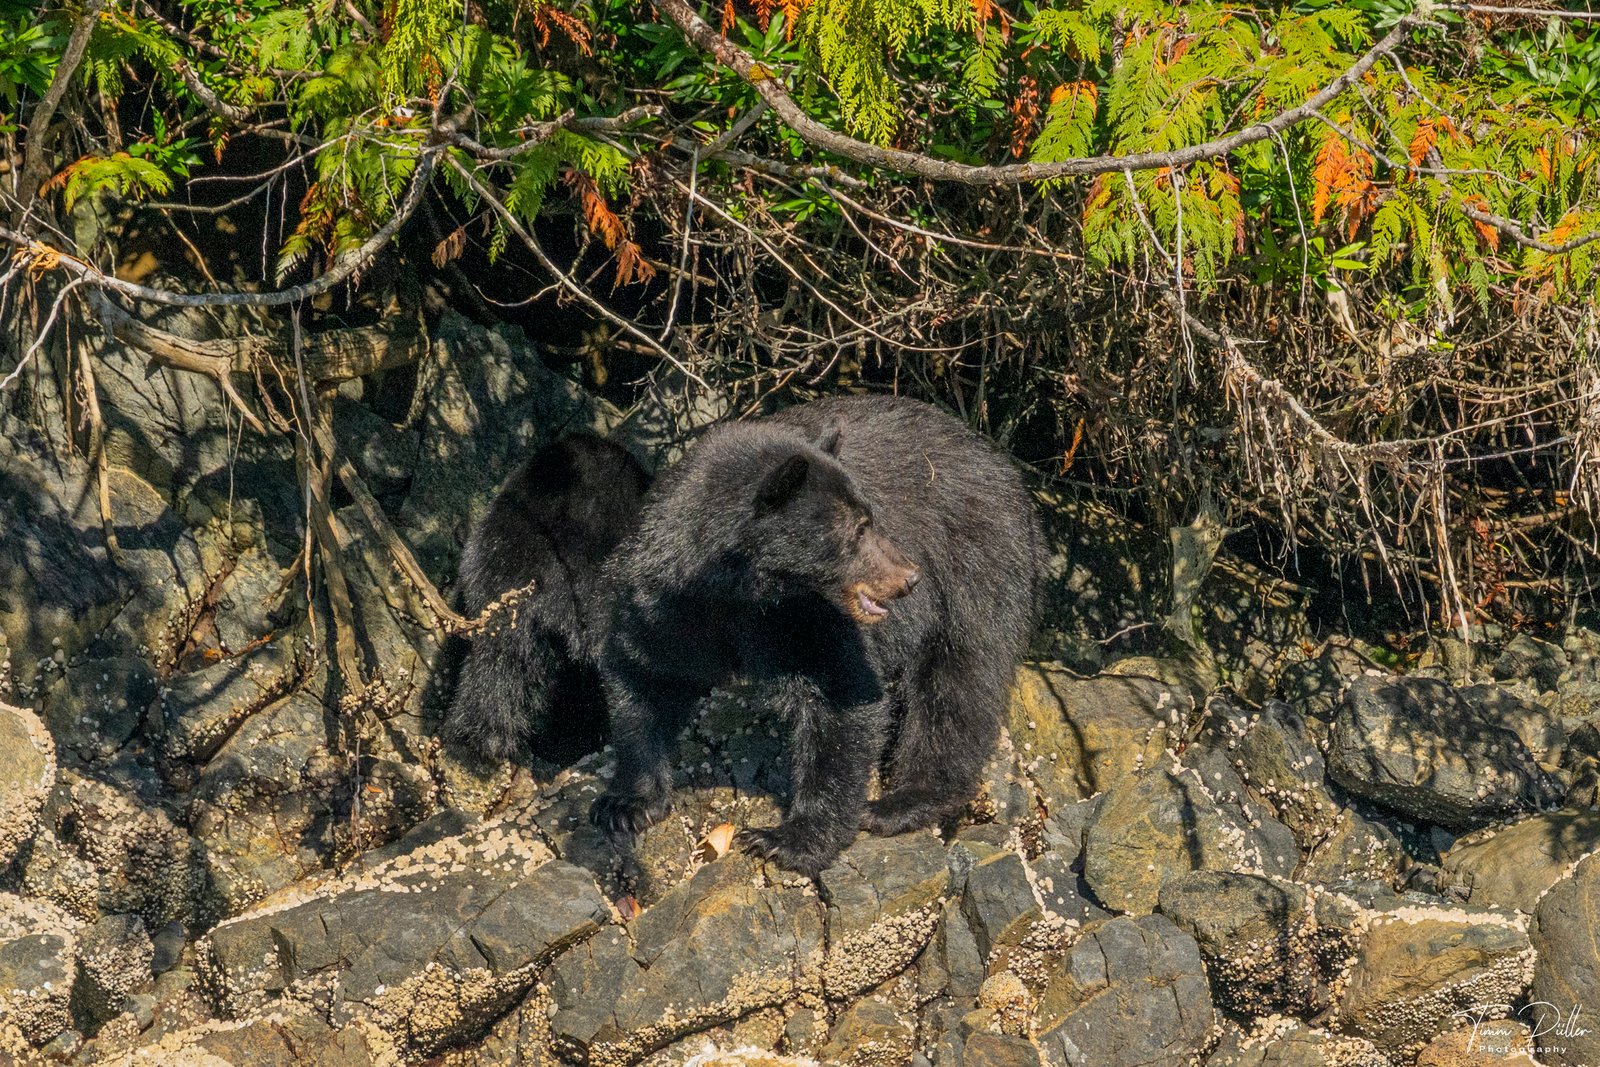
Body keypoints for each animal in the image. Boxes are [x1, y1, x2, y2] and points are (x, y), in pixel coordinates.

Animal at [589, 395, 1041, 877]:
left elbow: (840, 696)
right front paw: (625, 803)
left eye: (871, 518)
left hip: (977, 564)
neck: (735, 594)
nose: (910, 577)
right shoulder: (663, 602)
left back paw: (903, 801)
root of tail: (1000, 461)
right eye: (859, 528)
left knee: (959, 683)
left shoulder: (805, 617)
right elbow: (643, 674)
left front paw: (786, 839)